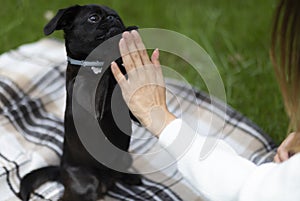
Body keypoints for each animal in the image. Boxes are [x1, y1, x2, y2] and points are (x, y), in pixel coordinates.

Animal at [19, 4, 141, 201]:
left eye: (117, 16)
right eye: (93, 18)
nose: (113, 18)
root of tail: (61, 171)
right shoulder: (95, 104)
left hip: (125, 158)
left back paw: (130, 177)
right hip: (87, 183)